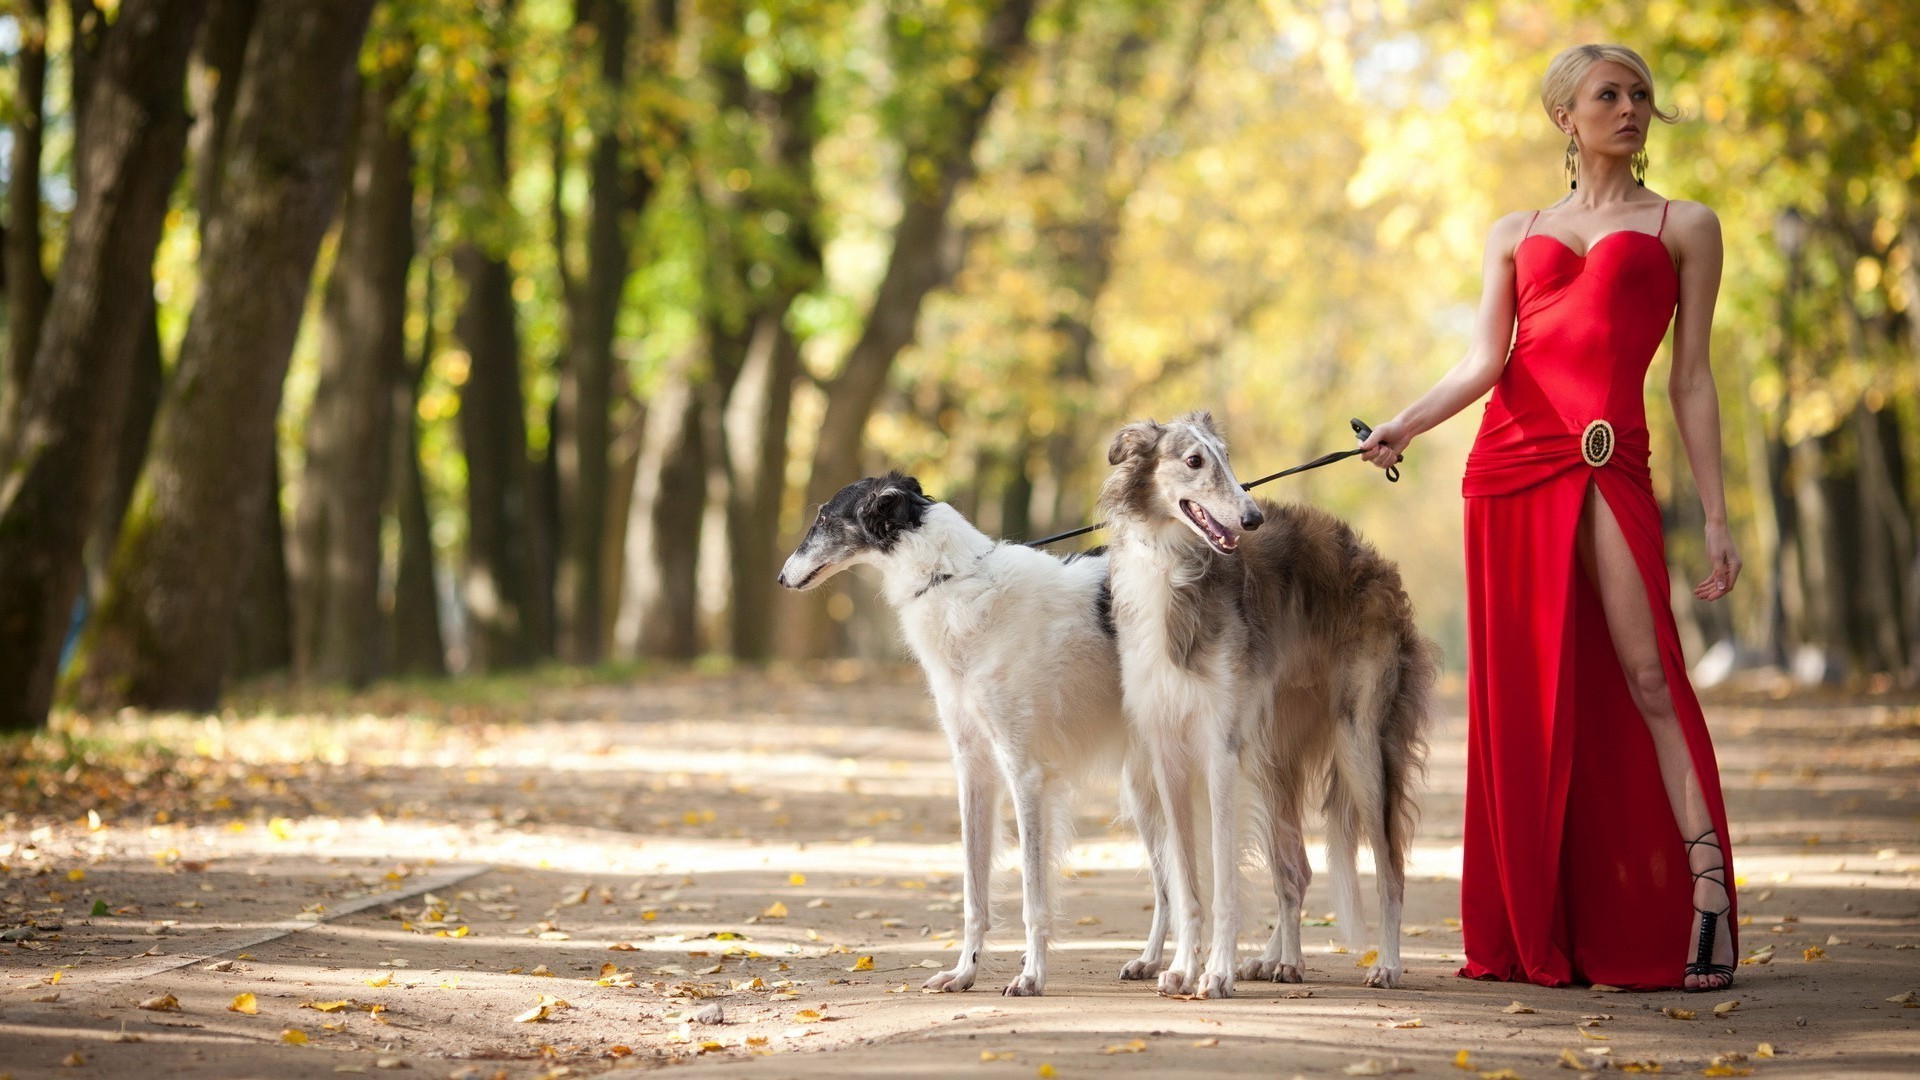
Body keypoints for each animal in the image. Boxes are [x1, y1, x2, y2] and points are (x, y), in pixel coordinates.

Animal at [779, 470, 1167, 991]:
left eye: (823, 517)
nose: (781, 577)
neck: (951, 580)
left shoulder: (1025, 771)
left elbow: (1032, 895)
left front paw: (1031, 976)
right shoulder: (974, 767)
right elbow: (972, 891)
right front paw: (964, 971)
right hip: (1145, 783)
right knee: (1174, 883)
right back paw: (1154, 960)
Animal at [1105, 409, 1436, 991]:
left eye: (1227, 458)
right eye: (1194, 460)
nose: (1252, 517)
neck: (1176, 568)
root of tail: (1378, 566)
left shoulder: (1219, 748)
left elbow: (1222, 880)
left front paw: (1215, 973)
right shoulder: (1167, 753)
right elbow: (1186, 882)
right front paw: (1182, 969)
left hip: (1359, 745)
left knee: (1390, 871)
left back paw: (1387, 965)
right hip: (1271, 752)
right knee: (1296, 868)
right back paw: (1281, 960)